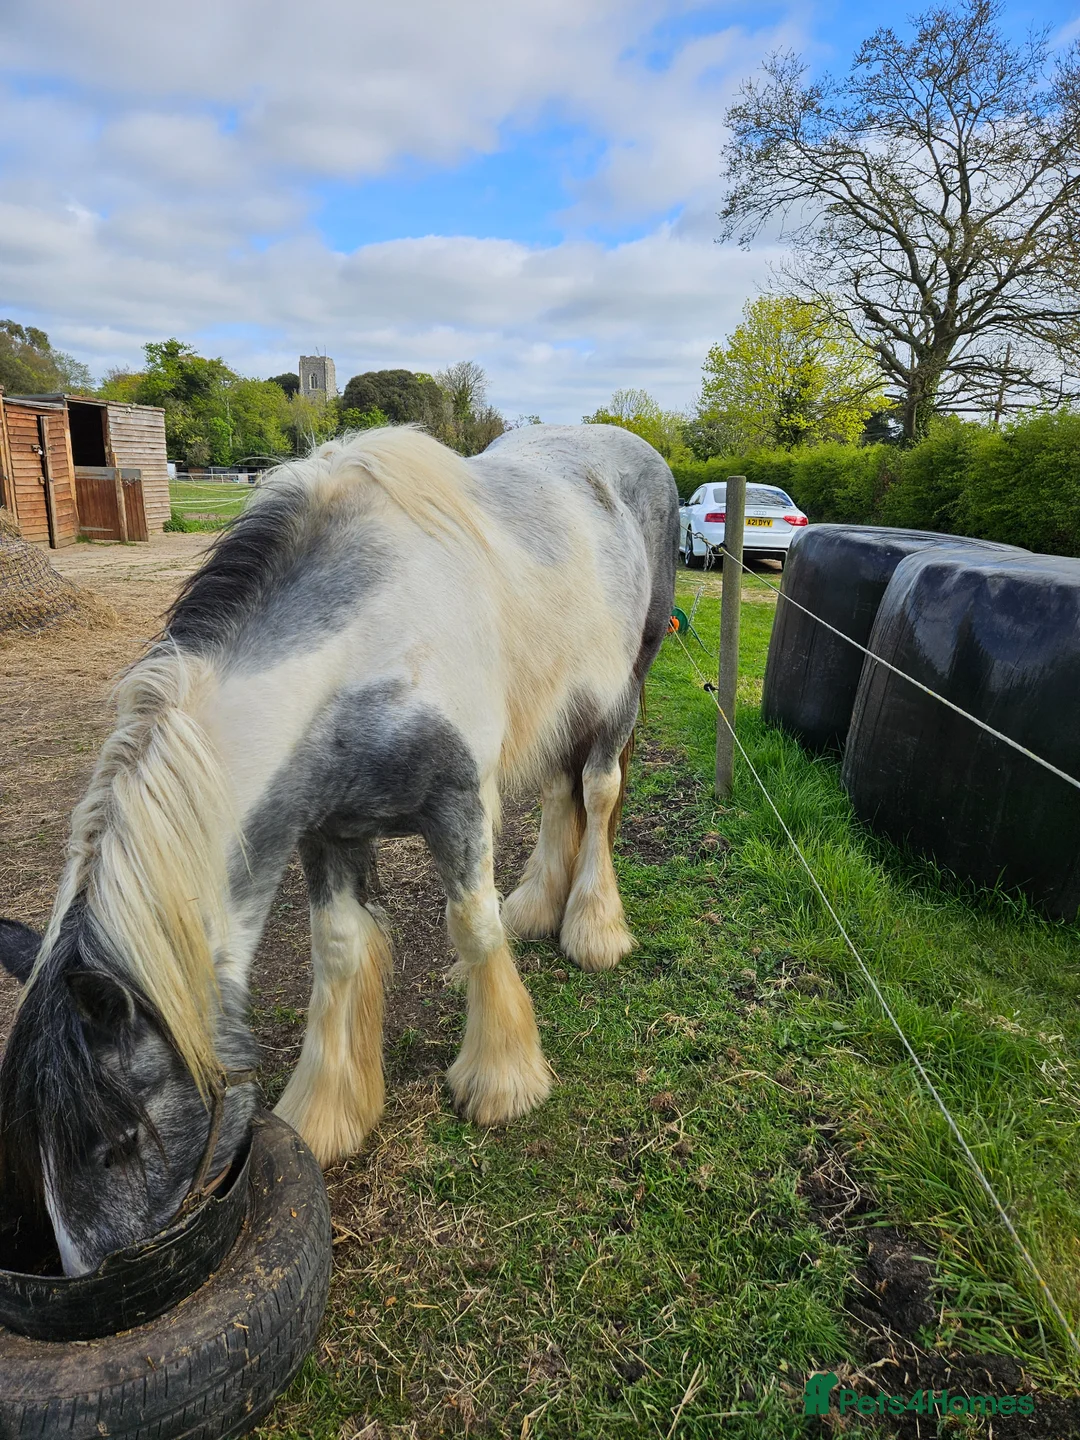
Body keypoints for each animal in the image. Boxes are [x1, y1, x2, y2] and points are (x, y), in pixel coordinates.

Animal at [0, 423, 678, 1275]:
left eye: (119, 1142)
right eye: (32, 1152)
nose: (99, 1285)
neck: (365, 648)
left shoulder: (459, 805)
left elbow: (473, 925)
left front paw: (502, 1080)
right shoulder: (324, 829)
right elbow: (340, 949)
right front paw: (328, 1114)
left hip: (625, 683)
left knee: (597, 790)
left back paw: (592, 929)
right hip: (561, 701)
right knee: (562, 797)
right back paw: (539, 909)